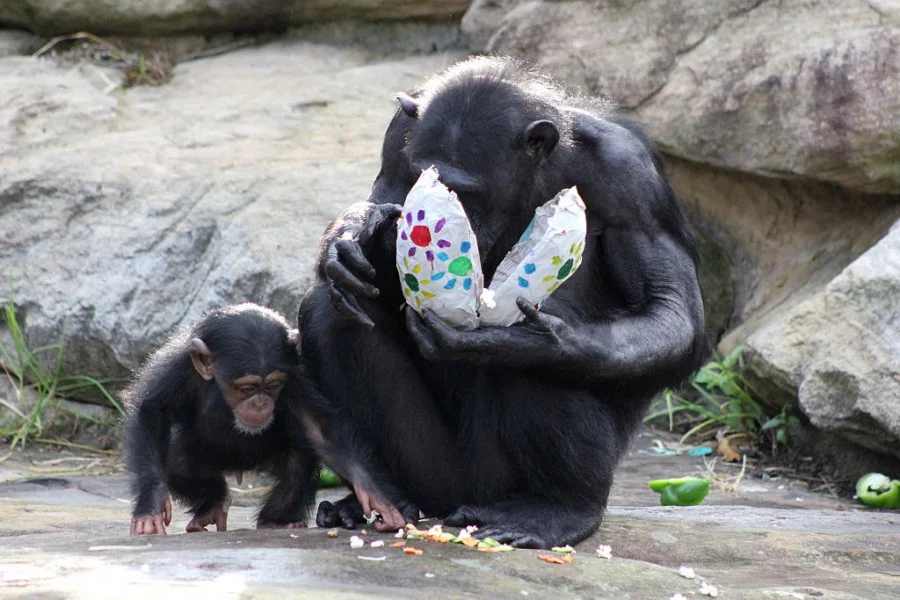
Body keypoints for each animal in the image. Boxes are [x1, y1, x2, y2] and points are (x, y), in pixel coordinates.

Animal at [123, 304, 320, 536]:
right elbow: (153, 409)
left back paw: (274, 521)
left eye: (273, 385)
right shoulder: (179, 368)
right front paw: (151, 507)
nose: (260, 403)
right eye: (247, 388)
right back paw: (213, 505)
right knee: (179, 464)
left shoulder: (300, 376)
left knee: (298, 464)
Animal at [298, 57, 708, 548]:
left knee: (534, 372)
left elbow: (669, 308)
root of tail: (456, 504)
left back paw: (558, 509)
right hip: (433, 470)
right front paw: (352, 236)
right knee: (331, 315)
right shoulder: (398, 139)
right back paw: (376, 499)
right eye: (421, 178)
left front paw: (528, 340)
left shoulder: (630, 178)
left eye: (468, 191)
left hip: (496, 482)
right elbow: (382, 199)